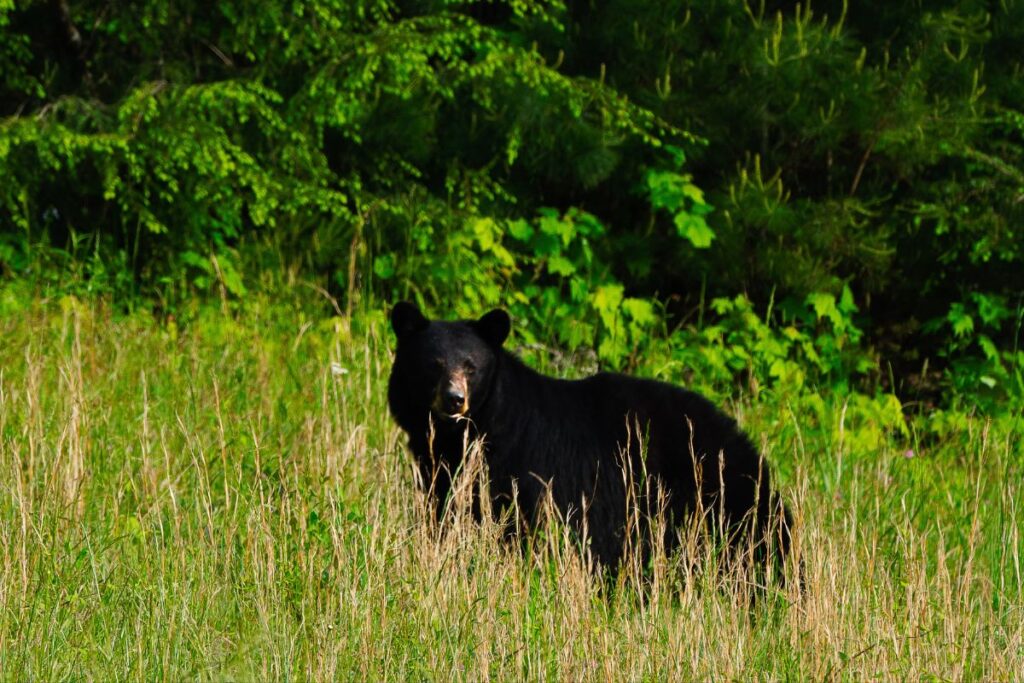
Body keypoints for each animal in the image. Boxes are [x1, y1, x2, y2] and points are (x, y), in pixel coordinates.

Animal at [385, 301, 790, 569]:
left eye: (471, 366)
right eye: (434, 364)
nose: (454, 399)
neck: (470, 434)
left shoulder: (527, 470)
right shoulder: (440, 469)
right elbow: (445, 511)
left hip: (716, 495)